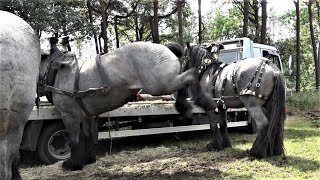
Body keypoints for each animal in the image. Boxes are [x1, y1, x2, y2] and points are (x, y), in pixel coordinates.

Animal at [39, 38, 222, 171]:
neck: (57, 71)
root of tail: (164, 47)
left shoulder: (69, 115)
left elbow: (74, 140)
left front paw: (71, 164)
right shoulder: (87, 115)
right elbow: (88, 137)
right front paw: (88, 160)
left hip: (159, 84)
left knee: (190, 75)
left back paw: (195, 103)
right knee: (188, 78)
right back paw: (187, 106)